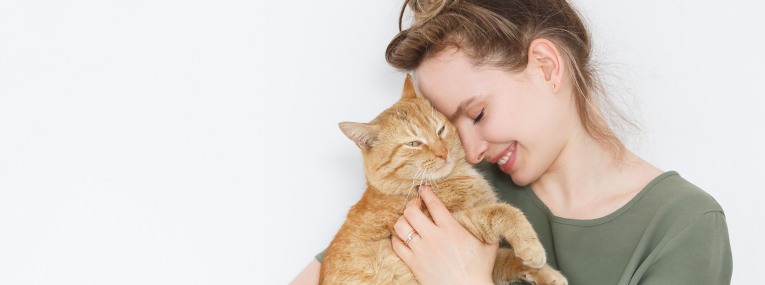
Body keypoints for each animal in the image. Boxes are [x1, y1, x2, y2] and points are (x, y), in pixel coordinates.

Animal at [318, 75, 568, 284]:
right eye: (413, 143)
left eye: (440, 130)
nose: (443, 152)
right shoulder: (454, 223)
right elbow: (503, 212)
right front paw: (532, 249)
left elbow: (506, 256)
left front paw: (546, 274)